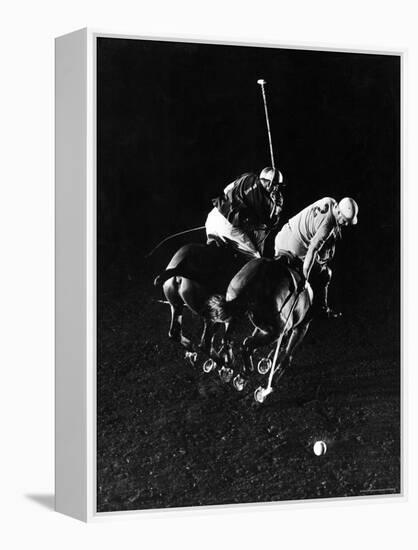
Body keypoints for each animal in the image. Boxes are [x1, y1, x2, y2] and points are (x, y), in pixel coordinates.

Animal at [207, 256, 314, 406]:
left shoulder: (266, 328)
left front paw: (264, 363)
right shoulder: (300, 328)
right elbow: (286, 356)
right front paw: (266, 386)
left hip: (236, 311)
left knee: (229, 339)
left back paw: (228, 364)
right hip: (278, 330)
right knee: (247, 344)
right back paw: (249, 378)